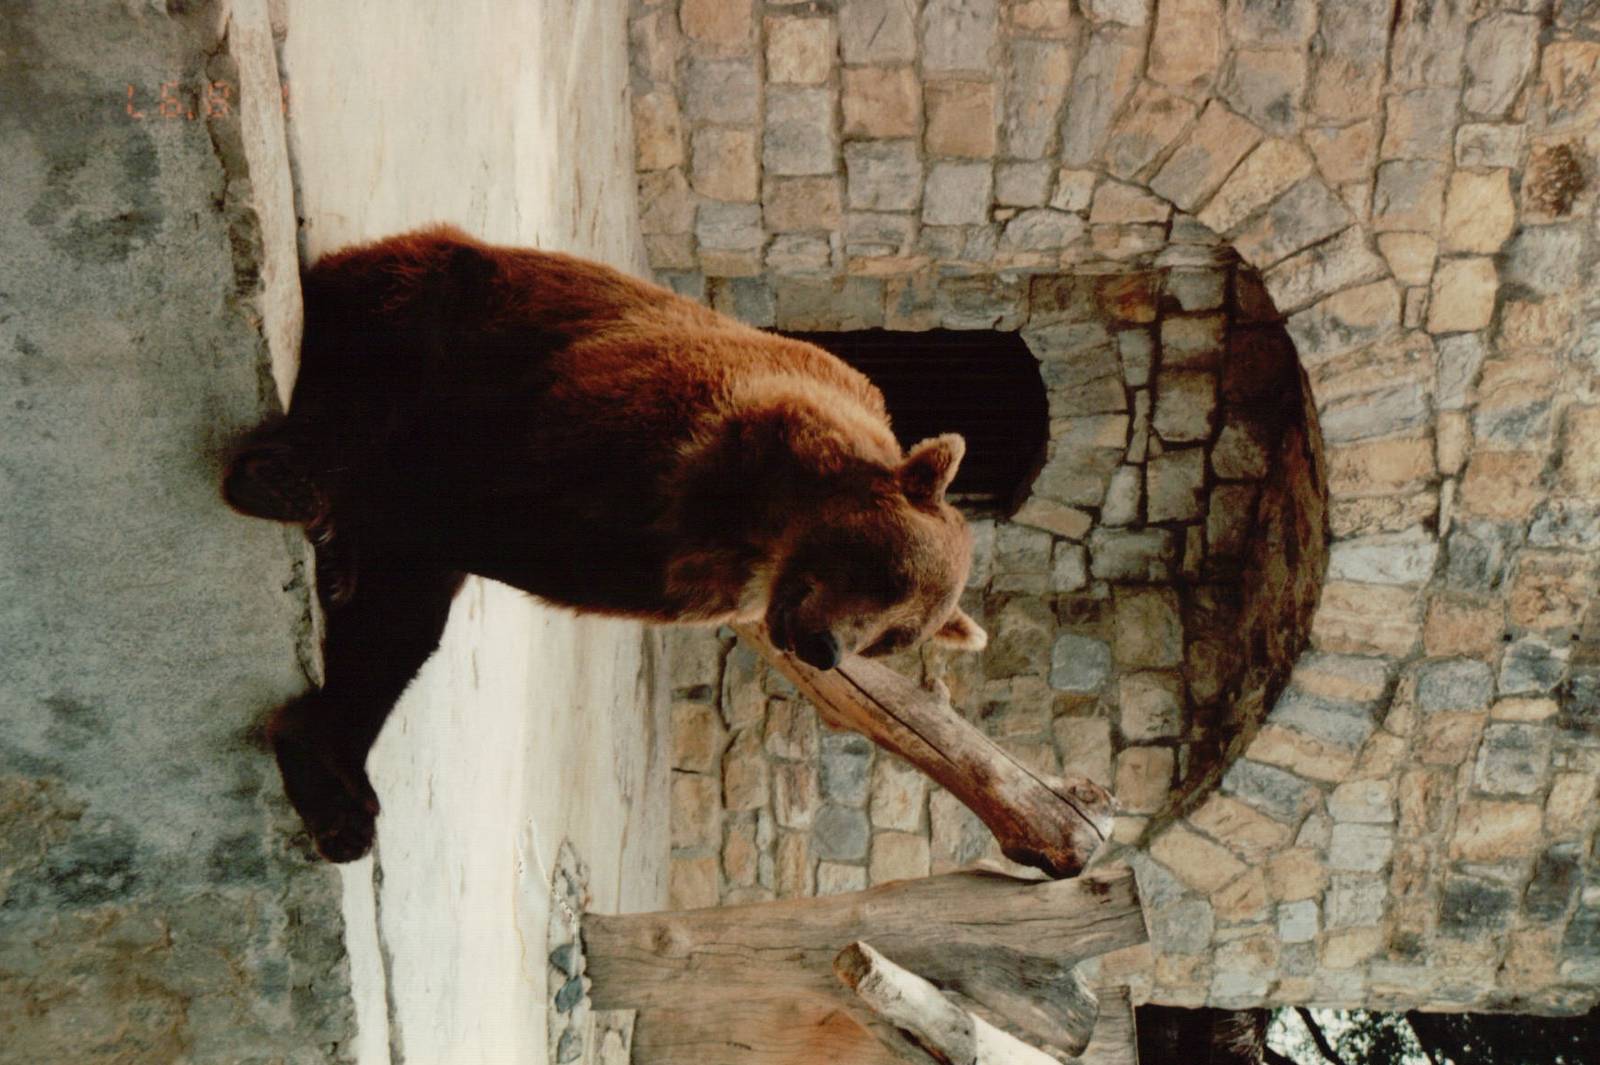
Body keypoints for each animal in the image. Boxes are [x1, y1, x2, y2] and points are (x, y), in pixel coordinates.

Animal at [224, 225, 987, 862]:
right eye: (886, 575)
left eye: (894, 639)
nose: (827, 649)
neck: (756, 519)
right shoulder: (623, 432)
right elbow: (450, 500)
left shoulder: (656, 569)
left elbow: (403, 608)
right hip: (464, 295)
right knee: (386, 347)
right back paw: (289, 486)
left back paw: (341, 793)